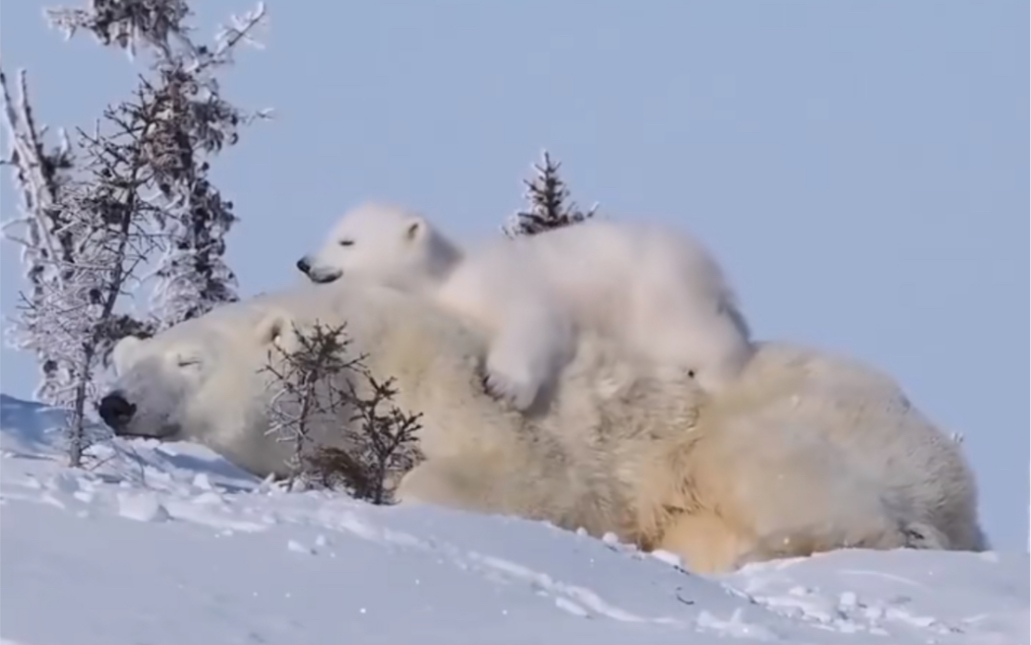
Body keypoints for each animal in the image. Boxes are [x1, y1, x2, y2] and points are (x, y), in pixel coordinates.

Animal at [100, 278, 985, 568]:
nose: (114, 403)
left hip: (814, 423)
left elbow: (529, 477)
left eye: (188, 361)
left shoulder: (469, 390)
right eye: (128, 360)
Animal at [294, 200, 754, 410]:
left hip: (651, 295)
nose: (304, 262)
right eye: (331, 233)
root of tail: (704, 262)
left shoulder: (505, 283)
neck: (448, 273)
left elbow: (534, 322)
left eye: (347, 241)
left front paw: (505, 385)